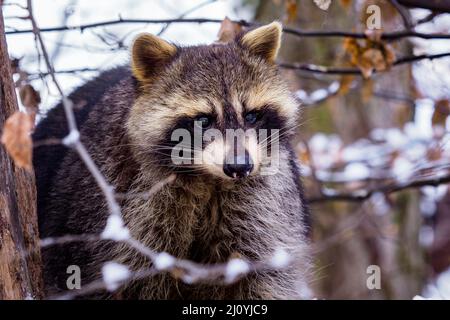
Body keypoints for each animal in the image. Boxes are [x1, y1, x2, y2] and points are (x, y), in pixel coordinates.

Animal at [34, 21, 310, 298]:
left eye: (252, 115)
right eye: (203, 120)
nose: (240, 167)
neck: (207, 179)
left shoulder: (265, 206)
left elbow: (266, 278)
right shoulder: (115, 203)